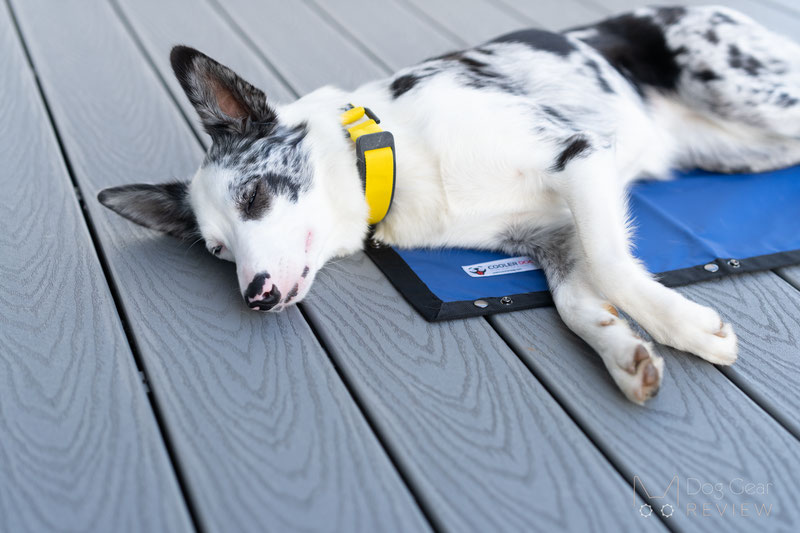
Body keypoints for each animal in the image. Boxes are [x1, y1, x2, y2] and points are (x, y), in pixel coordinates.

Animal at [98, 5, 800, 404]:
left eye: (254, 194)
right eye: (218, 250)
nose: (256, 296)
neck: (395, 154)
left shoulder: (577, 152)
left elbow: (613, 265)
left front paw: (687, 328)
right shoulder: (550, 235)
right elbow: (578, 303)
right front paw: (626, 356)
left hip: (749, 93)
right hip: (740, 149)